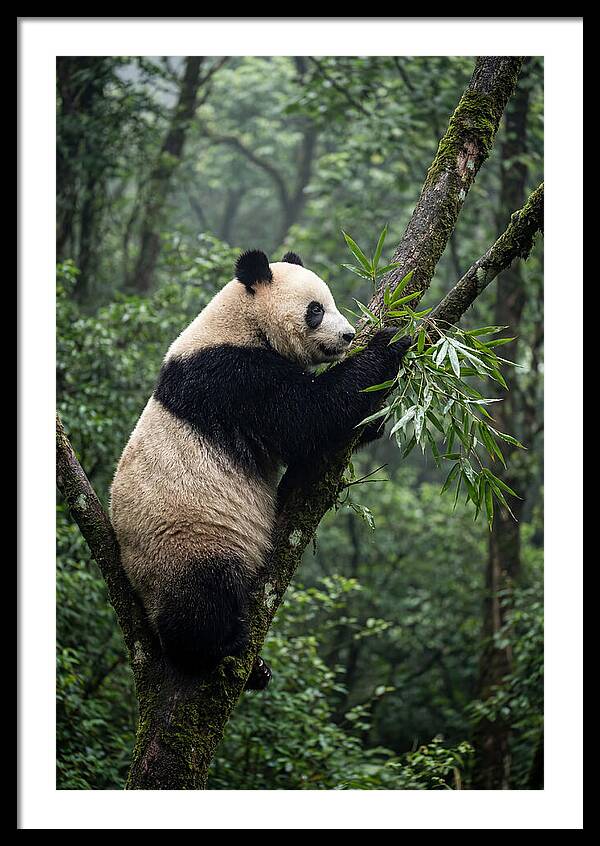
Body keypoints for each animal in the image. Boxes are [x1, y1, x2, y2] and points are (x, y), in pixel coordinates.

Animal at [110, 250, 410, 690]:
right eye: (316, 310)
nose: (348, 336)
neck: (241, 322)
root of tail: (137, 587)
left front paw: (375, 419)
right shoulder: (232, 377)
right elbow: (308, 417)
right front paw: (389, 342)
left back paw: (257, 670)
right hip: (187, 538)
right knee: (202, 597)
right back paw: (219, 647)